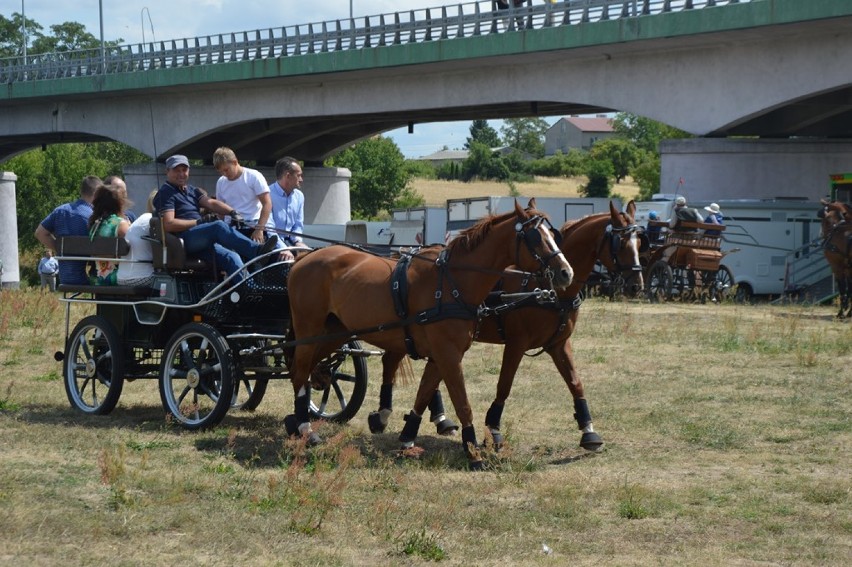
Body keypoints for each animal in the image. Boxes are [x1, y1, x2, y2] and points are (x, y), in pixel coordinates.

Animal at [284, 202, 572, 468]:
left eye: (552, 233)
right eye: (535, 237)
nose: (566, 272)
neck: (453, 282)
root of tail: (303, 259)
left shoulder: (439, 355)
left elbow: (424, 394)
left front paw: (408, 437)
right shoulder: (448, 354)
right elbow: (462, 401)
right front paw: (473, 450)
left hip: (333, 332)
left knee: (308, 370)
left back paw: (297, 421)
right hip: (309, 329)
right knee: (299, 372)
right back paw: (305, 429)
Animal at [372, 200, 644, 452]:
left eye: (640, 243)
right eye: (621, 243)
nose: (637, 285)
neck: (546, 290)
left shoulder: (559, 343)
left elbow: (575, 383)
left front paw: (588, 430)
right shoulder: (516, 343)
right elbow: (504, 385)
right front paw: (493, 428)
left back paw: (438, 419)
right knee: (392, 362)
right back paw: (385, 414)